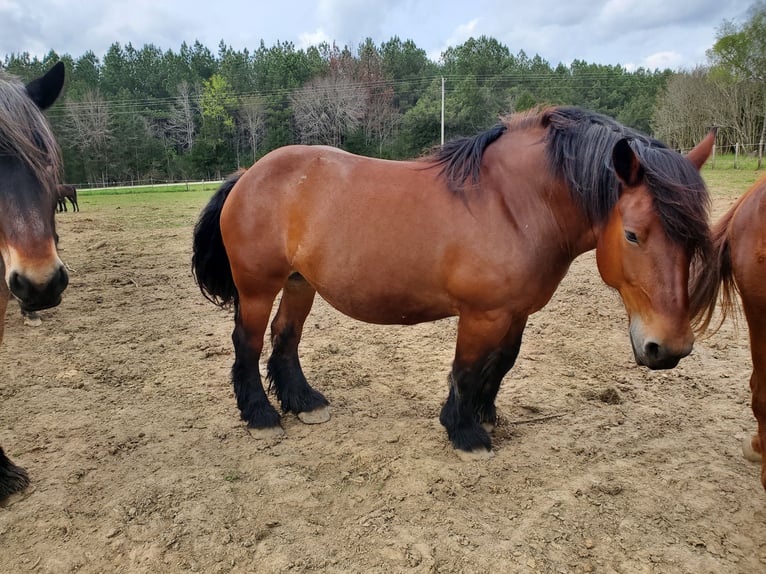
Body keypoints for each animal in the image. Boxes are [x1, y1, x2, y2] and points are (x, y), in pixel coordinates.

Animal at [195, 107, 716, 460]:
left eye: (697, 239)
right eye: (632, 234)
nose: (668, 348)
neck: (514, 203)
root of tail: (250, 173)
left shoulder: (515, 312)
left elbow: (500, 364)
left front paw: (485, 414)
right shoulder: (482, 314)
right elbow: (466, 369)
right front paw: (465, 432)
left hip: (300, 282)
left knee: (285, 337)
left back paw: (304, 402)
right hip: (258, 287)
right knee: (247, 343)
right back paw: (261, 416)